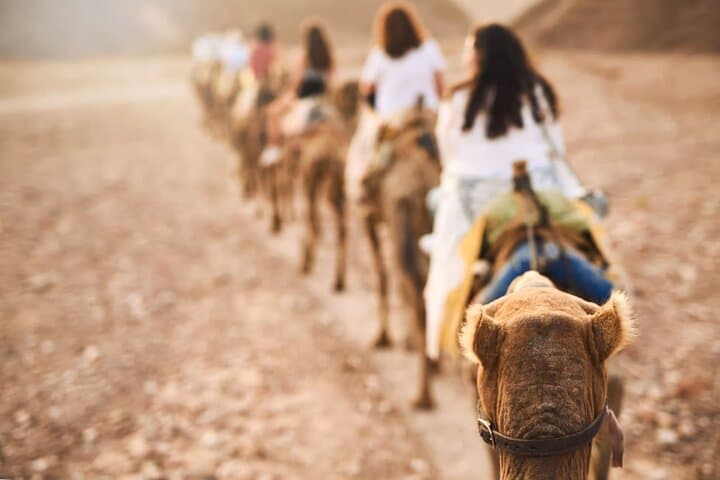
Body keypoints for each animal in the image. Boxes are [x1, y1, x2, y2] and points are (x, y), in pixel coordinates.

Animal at [361, 102, 441, 408]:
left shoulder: (369, 218)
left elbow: (383, 277)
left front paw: (382, 338)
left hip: (399, 222)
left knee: (413, 290)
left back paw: (422, 395)